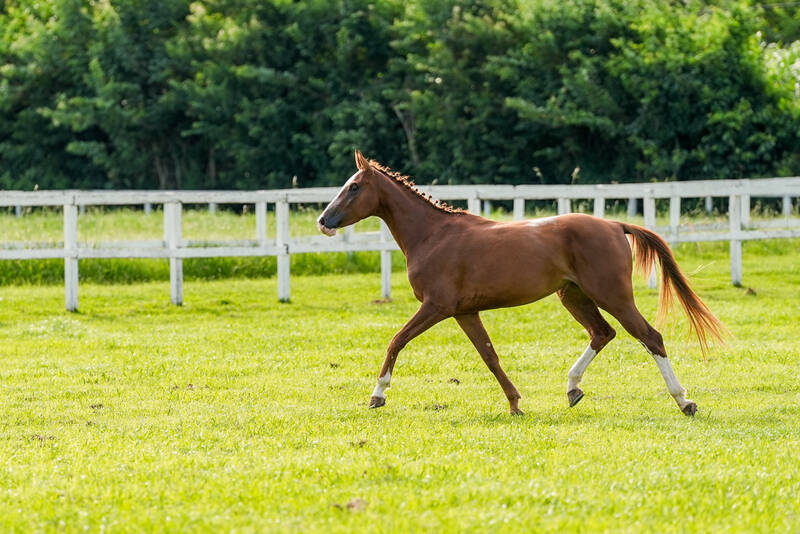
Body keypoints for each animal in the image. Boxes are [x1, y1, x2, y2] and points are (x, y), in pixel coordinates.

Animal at [318, 151, 724, 418]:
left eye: (354, 187)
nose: (324, 221)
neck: (433, 235)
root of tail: (614, 225)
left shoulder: (436, 306)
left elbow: (396, 341)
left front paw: (377, 396)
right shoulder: (465, 312)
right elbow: (490, 356)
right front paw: (515, 403)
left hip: (613, 295)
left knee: (650, 337)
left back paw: (684, 401)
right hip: (573, 296)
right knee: (602, 333)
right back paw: (573, 388)